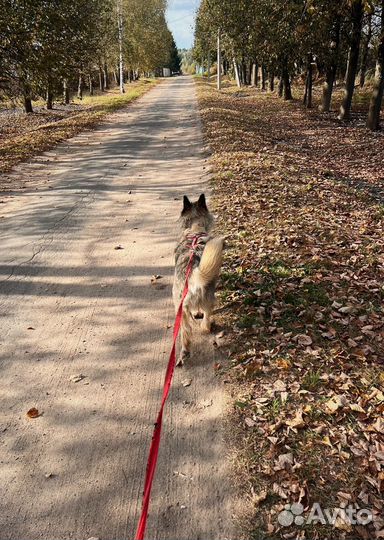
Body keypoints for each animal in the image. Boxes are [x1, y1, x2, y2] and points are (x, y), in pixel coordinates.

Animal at [172, 192, 224, 364]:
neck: (195, 229)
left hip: (181, 310)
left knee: (186, 334)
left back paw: (184, 352)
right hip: (205, 299)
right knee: (205, 322)